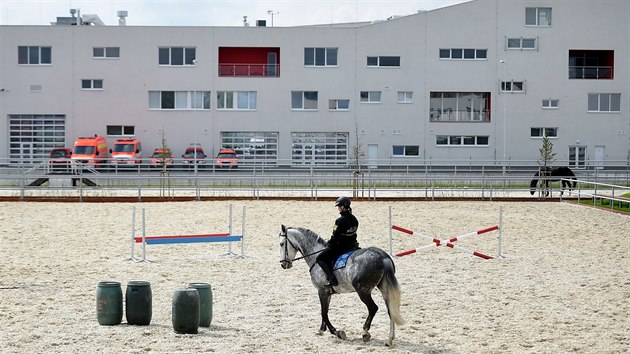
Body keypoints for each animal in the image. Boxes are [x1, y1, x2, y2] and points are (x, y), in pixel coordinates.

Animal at [278, 224, 408, 346]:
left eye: (281, 244)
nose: (283, 265)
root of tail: (383, 257)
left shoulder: (322, 290)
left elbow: (323, 313)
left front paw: (337, 332)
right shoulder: (328, 293)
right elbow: (325, 311)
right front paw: (321, 330)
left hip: (363, 291)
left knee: (373, 308)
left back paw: (365, 332)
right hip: (384, 289)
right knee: (390, 310)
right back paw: (389, 339)